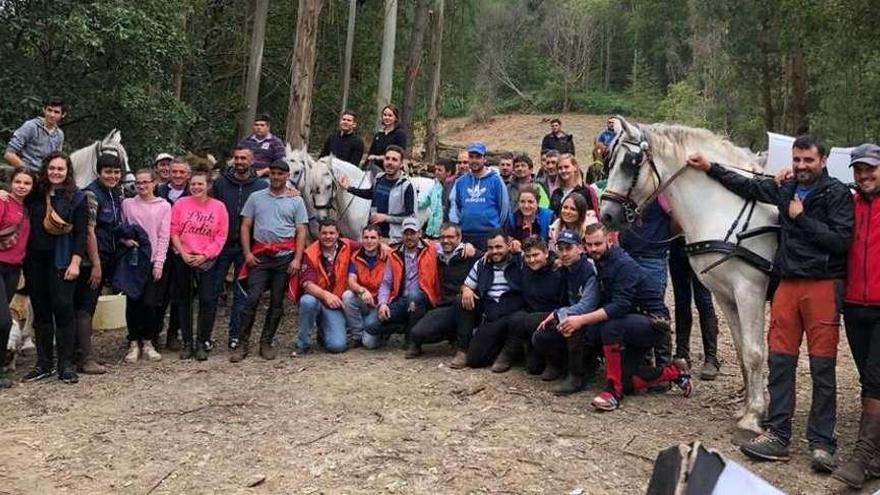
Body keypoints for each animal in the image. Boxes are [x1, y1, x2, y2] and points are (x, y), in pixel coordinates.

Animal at [600, 116, 776, 434]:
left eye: (631, 163)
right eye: (610, 160)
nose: (607, 214)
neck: (724, 208)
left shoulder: (750, 291)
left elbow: (755, 352)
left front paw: (754, 415)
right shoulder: (727, 295)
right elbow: (742, 350)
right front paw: (747, 407)